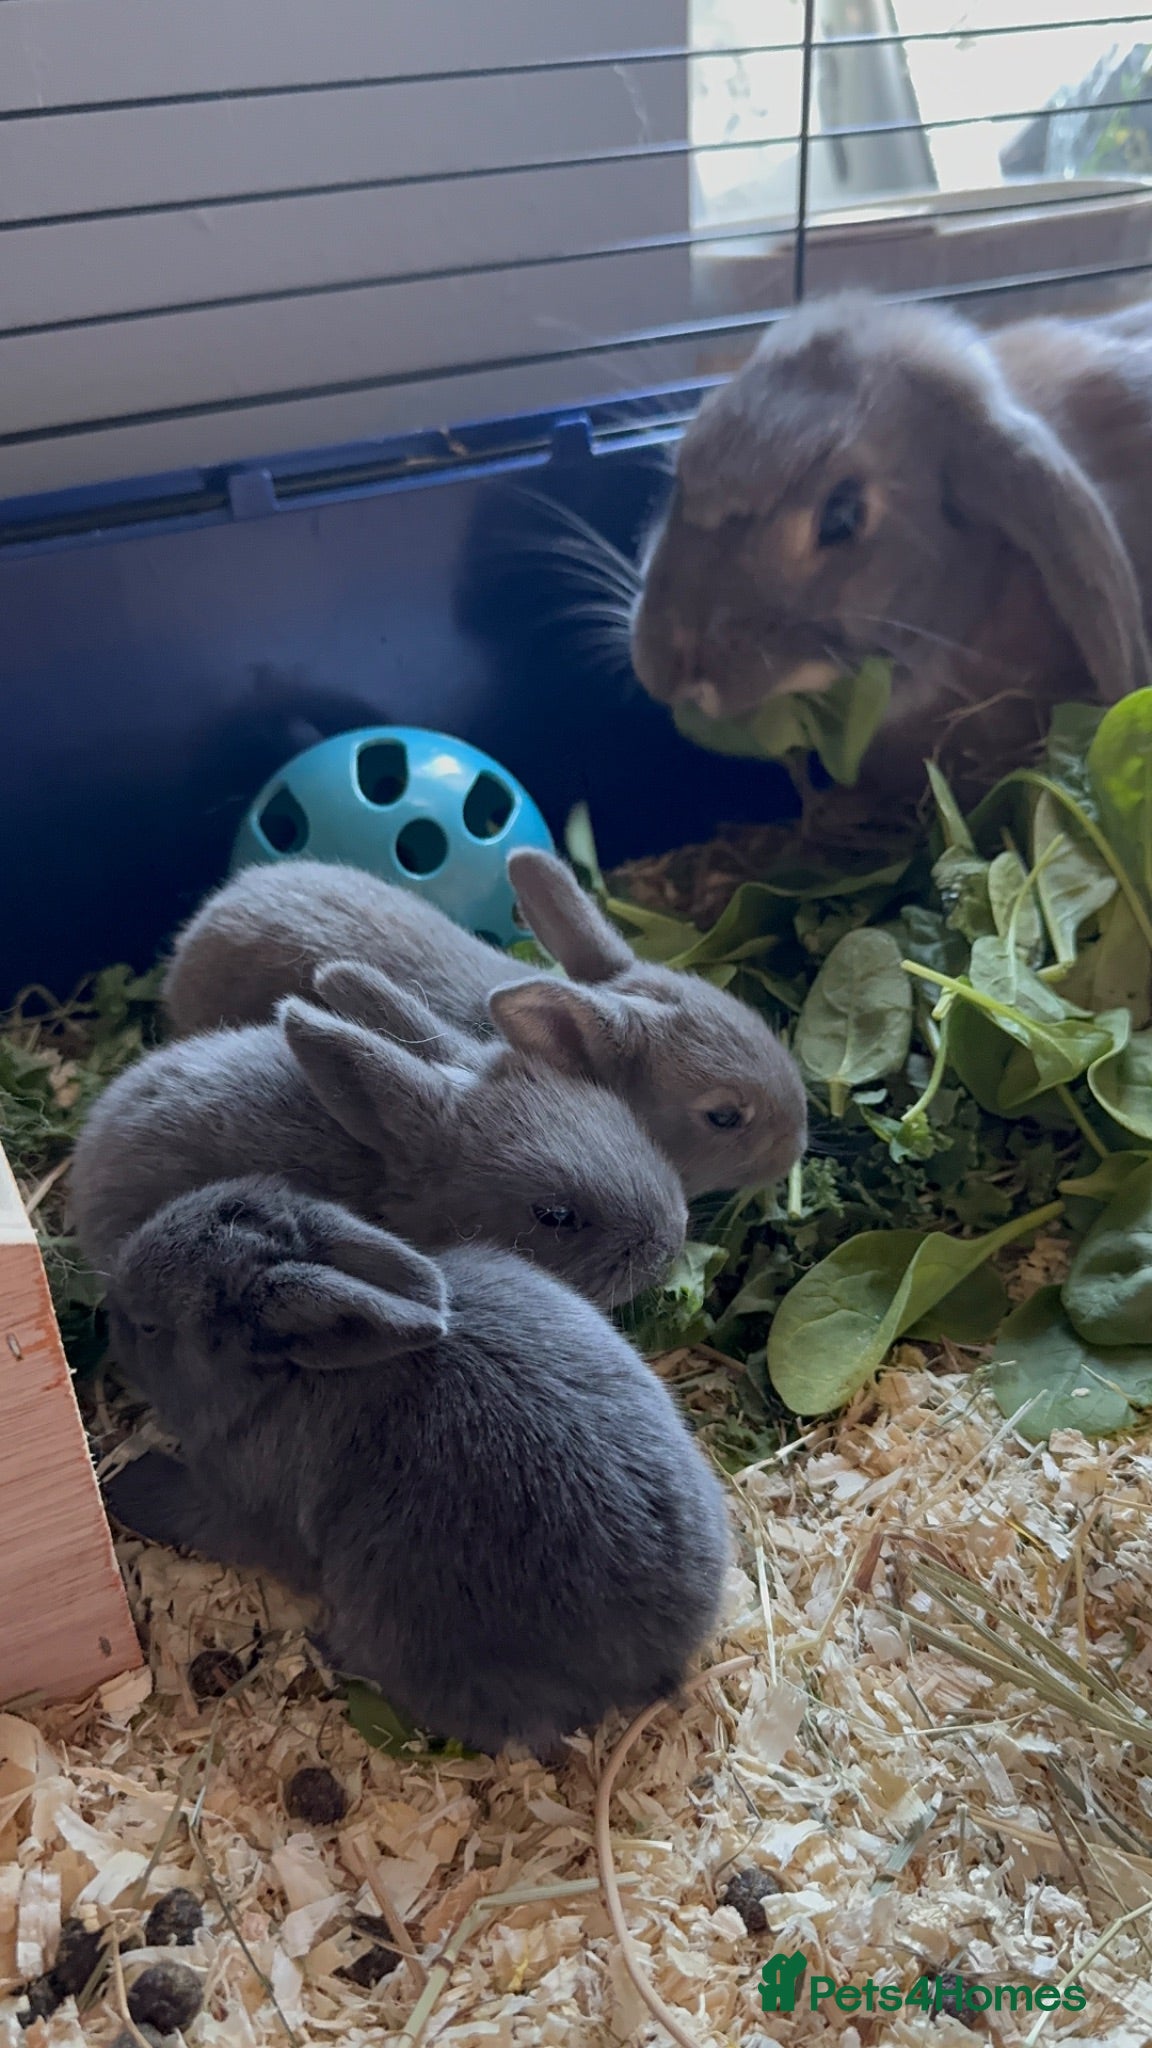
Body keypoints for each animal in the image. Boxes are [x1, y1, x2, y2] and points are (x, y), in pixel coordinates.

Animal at [101, 1175, 733, 1757]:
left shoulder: (238, 1506)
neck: (287, 1376)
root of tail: (663, 1663)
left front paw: (123, 1485)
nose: (110, 1311)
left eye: (150, 1326)